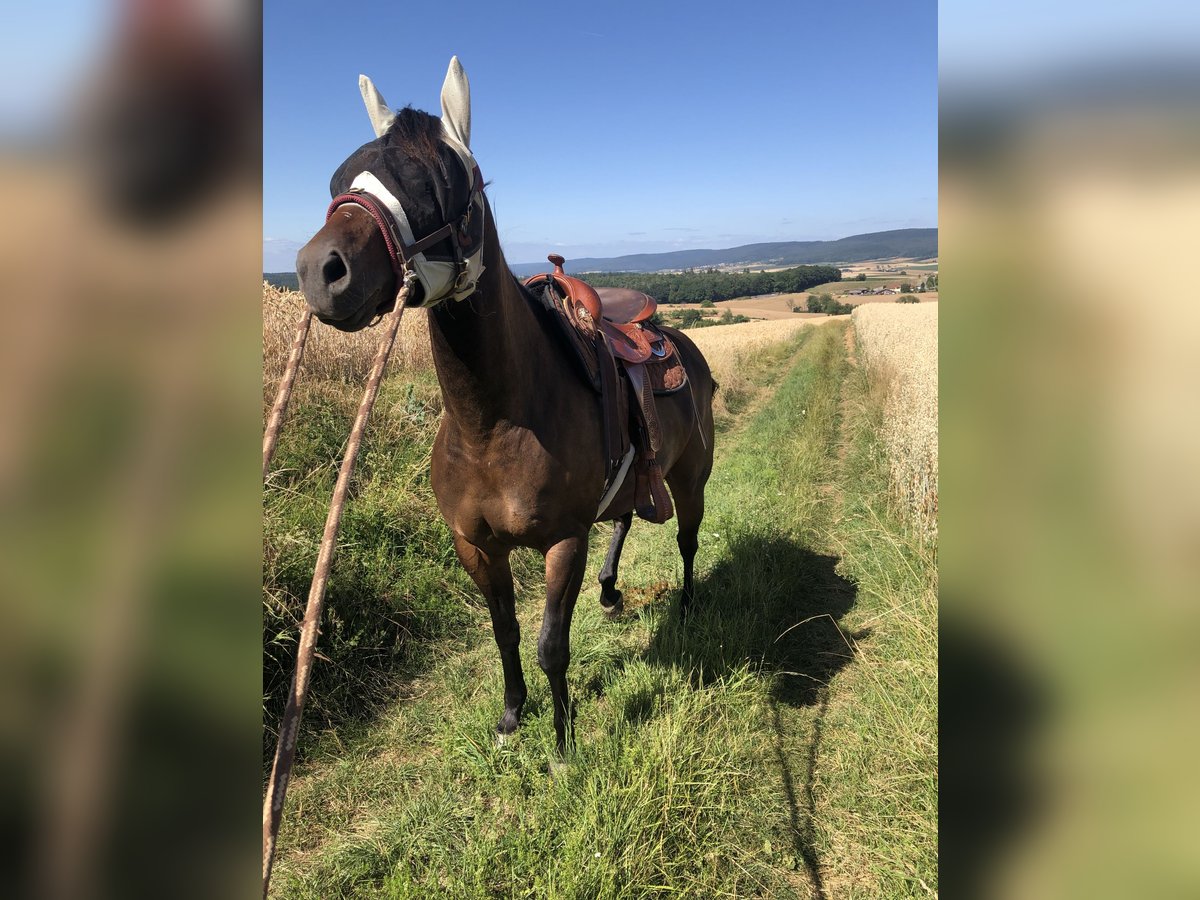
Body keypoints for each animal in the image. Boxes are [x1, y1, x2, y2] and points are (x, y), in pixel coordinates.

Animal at [296, 60, 715, 758]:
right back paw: (610, 589)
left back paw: (684, 606)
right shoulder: (475, 546)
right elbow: (506, 632)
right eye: (337, 180)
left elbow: (551, 645)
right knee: (626, 519)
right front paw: (514, 714)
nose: (318, 271)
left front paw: (564, 742)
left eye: (437, 182)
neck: (491, 425)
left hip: (690, 477)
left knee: (686, 539)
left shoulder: (563, 541)